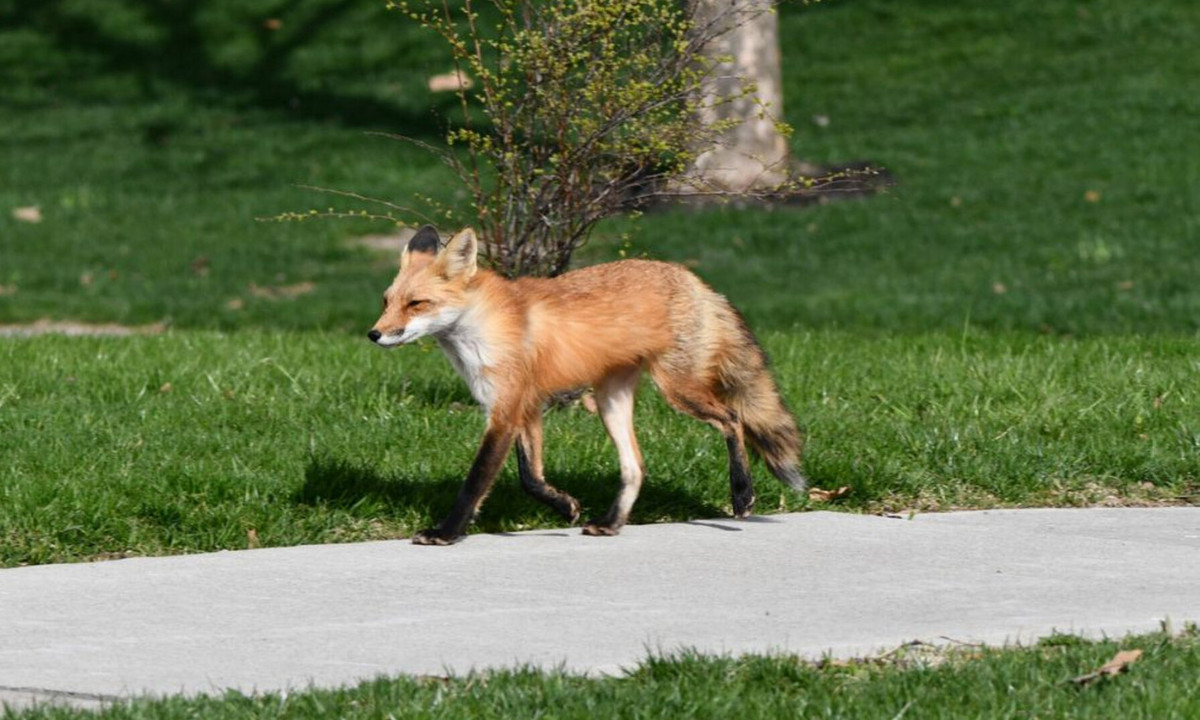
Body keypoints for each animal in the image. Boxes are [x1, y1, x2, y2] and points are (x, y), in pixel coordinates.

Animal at [368, 225, 807, 545]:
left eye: (416, 304)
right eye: (386, 301)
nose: (374, 334)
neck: (483, 328)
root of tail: (693, 278)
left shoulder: (506, 410)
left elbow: (476, 481)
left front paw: (446, 532)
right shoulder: (525, 406)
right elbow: (530, 477)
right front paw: (564, 506)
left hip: (678, 388)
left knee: (732, 419)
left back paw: (741, 493)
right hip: (610, 401)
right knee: (635, 467)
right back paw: (612, 523)